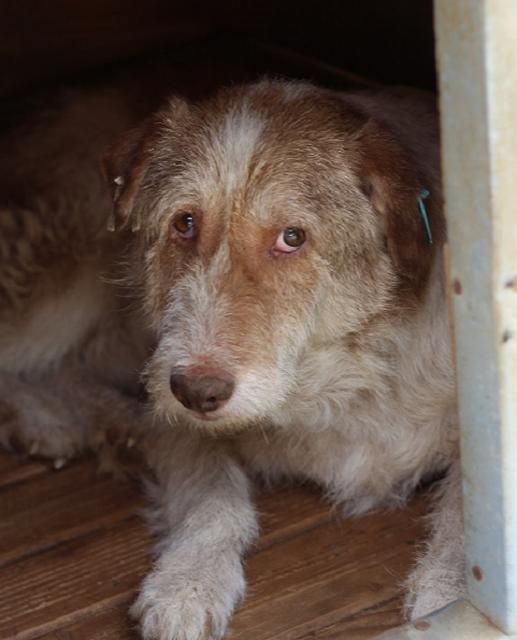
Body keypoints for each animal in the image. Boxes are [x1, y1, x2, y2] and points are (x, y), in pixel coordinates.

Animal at [0, 76, 464, 640]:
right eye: (185, 223)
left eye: (292, 237)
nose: (196, 392)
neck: (346, 379)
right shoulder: (176, 409)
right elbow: (214, 495)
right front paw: (187, 583)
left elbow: (466, 515)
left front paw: (449, 599)